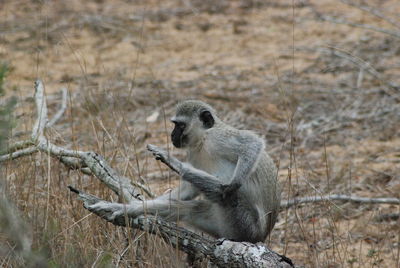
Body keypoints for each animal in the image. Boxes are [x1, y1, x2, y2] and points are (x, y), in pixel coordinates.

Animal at [89, 100, 280, 243]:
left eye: (180, 125)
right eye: (174, 125)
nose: (172, 136)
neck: (204, 140)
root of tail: (260, 237)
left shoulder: (219, 138)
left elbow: (252, 144)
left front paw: (233, 184)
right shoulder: (194, 152)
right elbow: (188, 190)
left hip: (245, 225)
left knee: (221, 193)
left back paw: (176, 165)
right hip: (221, 225)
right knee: (187, 208)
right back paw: (129, 209)